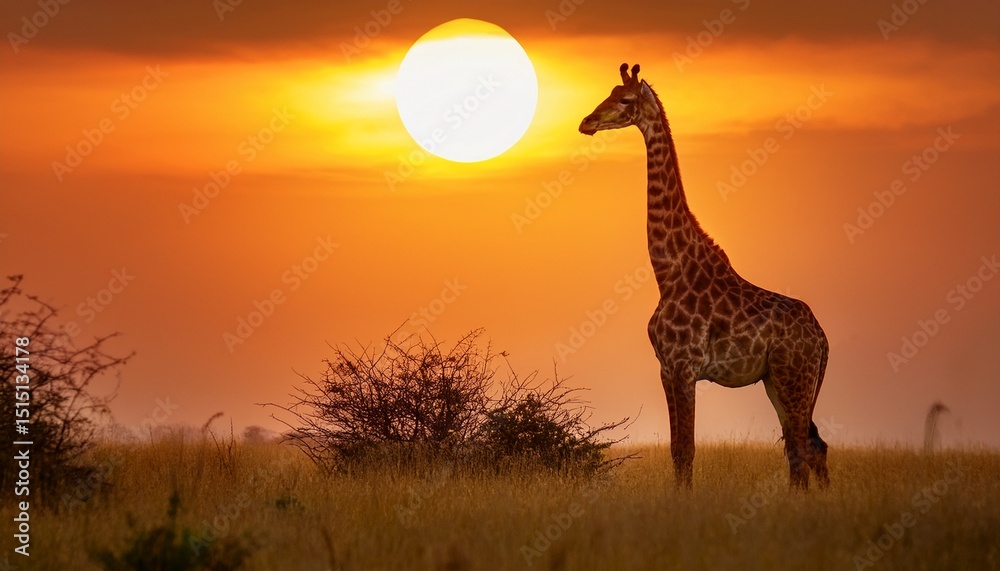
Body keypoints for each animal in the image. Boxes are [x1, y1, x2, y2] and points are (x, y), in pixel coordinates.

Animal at [579, 64, 830, 490]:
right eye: (607, 93)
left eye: (624, 100)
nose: (587, 122)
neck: (668, 271)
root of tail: (823, 338)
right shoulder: (666, 369)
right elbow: (676, 450)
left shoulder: (684, 367)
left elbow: (687, 449)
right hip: (777, 381)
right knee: (808, 449)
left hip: (794, 377)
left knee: (802, 448)